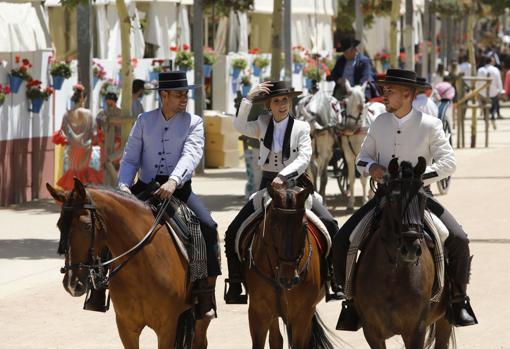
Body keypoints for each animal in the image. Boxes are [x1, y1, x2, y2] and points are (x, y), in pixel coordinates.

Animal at [47, 178, 213, 348]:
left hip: (200, 317)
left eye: (86, 226)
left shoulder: (167, 327)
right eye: (59, 225)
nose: (71, 284)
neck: (142, 268)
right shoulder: (126, 326)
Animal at [241, 177, 336, 348]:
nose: (288, 279)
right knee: (276, 339)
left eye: (304, 226)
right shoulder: (258, 312)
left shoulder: (302, 314)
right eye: (273, 226)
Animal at [340, 80, 384, 208]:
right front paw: (350, 202)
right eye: (345, 103)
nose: (348, 128)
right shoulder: (349, 157)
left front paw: (364, 200)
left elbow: (363, 180)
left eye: (361, 105)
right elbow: (351, 179)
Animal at [354, 158, 454, 348]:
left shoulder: (416, 331)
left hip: (445, 319)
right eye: (393, 199)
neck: (393, 275)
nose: (411, 249)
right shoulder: (372, 332)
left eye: (422, 198)